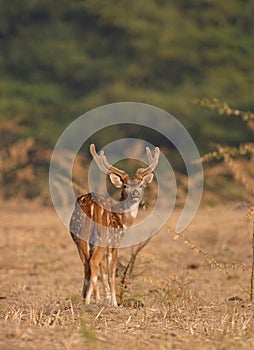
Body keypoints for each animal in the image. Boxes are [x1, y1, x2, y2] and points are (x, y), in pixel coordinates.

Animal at [69, 144, 160, 304]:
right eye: (125, 185)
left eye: (141, 184)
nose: (135, 193)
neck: (123, 220)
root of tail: (89, 206)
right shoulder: (114, 242)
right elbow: (111, 273)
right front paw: (113, 302)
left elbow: (103, 272)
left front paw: (103, 298)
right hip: (102, 238)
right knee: (93, 263)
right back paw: (91, 300)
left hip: (79, 238)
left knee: (86, 264)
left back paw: (84, 299)